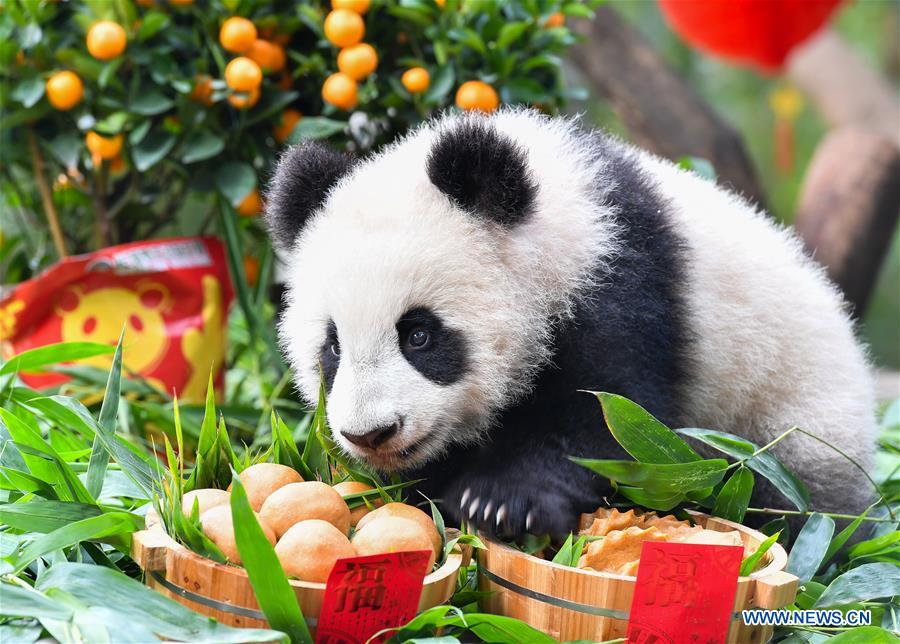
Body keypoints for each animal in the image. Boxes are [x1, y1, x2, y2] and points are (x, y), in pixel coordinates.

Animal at [265, 108, 876, 537]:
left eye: (419, 335)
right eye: (332, 347)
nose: (371, 435)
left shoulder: (621, 290)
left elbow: (604, 420)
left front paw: (504, 504)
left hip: (791, 429)